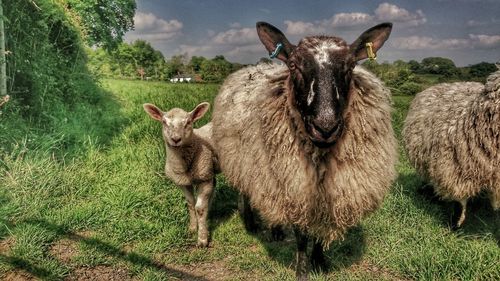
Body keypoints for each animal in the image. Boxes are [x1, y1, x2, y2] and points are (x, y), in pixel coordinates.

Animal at [143, 101, 217, 246]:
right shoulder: (182, 182)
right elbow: (190, 204)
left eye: (188, 122)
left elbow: (199, 208)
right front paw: (193, 228)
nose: (175, 139)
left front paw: (202, 239)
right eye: (164, 122)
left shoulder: (204, 179)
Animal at [212, 21, 398, 278]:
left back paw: (277, 230)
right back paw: (251, 222)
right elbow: (301, 236)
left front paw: (319, 261)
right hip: (244, 161)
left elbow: (319, 233)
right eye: (293, 65)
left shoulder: (323, 197)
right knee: (245, 190)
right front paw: (302, 270)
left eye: (351, 66)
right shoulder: (297, 187)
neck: (320, 162)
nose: (325, 127)